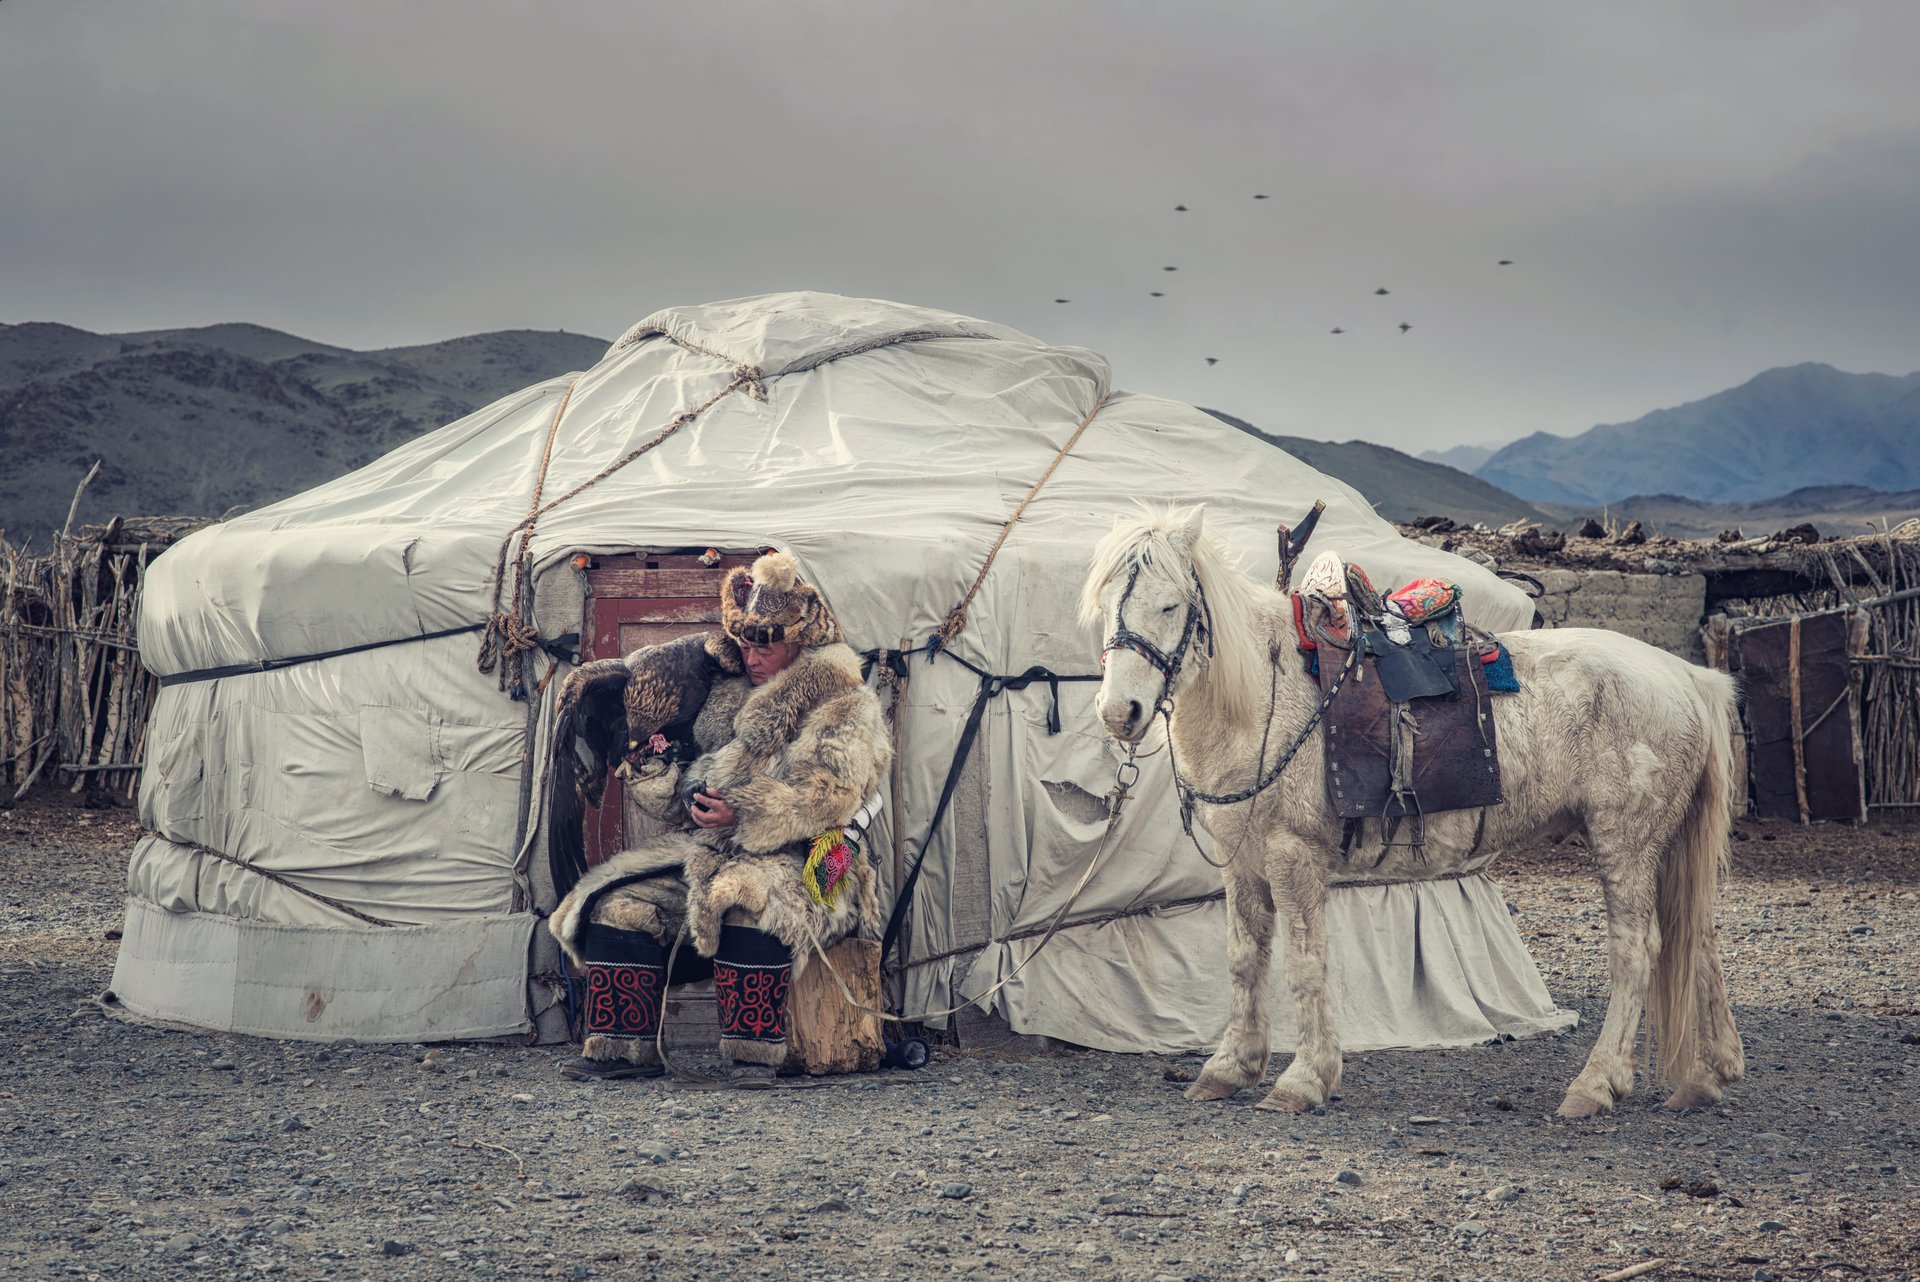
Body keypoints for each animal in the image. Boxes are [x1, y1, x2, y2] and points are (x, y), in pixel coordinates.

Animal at [1082, 506, 1743, 1113]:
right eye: (1103, 607)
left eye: (1170, 606)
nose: (1121, 713)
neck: (1260, 700)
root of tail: (1688, 676)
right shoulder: (1240, 860)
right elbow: (1244, 958)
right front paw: (1229, 1067)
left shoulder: (1293, 855)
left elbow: (1304, 962)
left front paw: (1304, 1079)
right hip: (1667, 843)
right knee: (1698, 934)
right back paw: (1709, 1074)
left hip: (1624, 841)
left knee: (1636, 950)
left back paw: (1596, 1084)